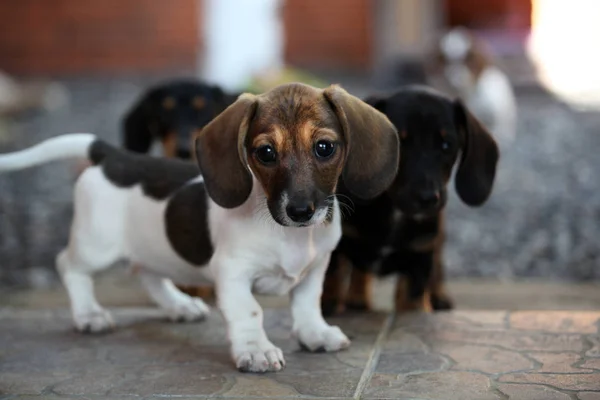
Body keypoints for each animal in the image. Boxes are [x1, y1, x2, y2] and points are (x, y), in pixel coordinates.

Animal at [1, 83, 404, 374]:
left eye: (324, 147)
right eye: (266, 153)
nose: (300, 211)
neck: (287, 234)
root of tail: (115, 156)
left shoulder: (316, 267)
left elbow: (306, 303)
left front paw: (314, 334)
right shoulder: (233, 274)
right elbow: (250, 312)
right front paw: (255, 350)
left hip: (152, 248)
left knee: (147, 272)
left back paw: (179, 305)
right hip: (95, 245)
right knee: (69, 266)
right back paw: (89, 314)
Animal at [322, 86, 500, 318]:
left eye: (447, 145)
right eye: (399, 142)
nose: (428, 198)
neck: (394, 211)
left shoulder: (419, 258)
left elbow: (411, 300)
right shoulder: (336, 245)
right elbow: (331, 277)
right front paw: (327, 306)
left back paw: (439, 296)